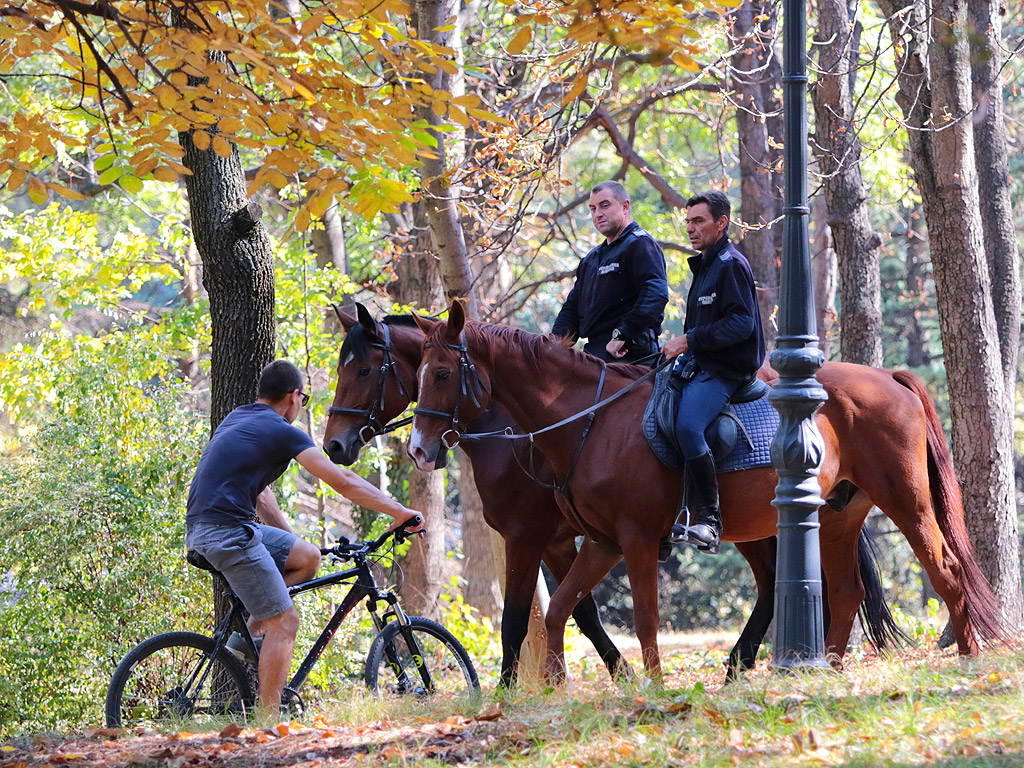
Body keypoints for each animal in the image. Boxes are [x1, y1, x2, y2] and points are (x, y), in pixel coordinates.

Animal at [407, 303, 999, 684]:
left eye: (442, 373)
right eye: (417, 372)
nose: (417, 448)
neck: (590, 422)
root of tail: (889, 379)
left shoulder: (629, 540)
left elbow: (641, 618)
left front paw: (652, 689)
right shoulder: (600, 542)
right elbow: (561, 612)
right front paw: (558, 686)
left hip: (905, 501)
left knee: (944, 569)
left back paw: (968, 659)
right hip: (836, 517)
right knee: (847, 591)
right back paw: (823, 672)